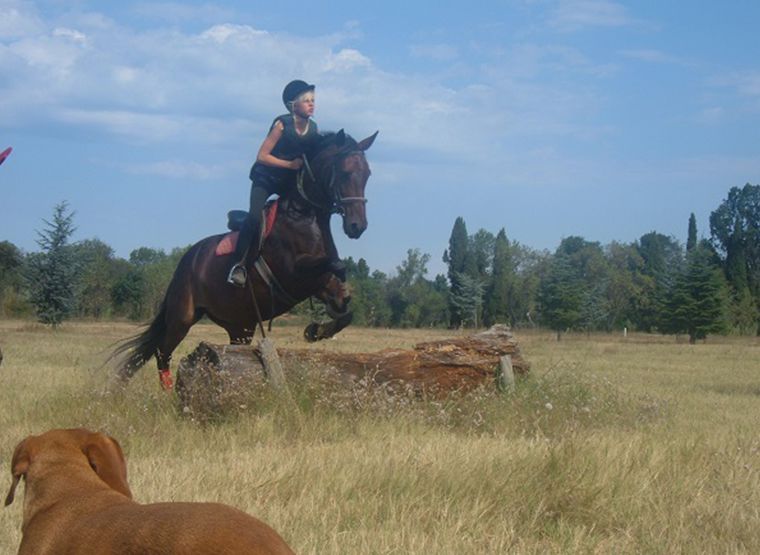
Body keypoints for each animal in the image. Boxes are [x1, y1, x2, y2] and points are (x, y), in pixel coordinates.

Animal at [113, 130, 378, 390]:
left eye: (367, 174)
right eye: (344, 172)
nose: (357, 226)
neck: (305, 214)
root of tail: (187, 258)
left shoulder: (317, 281)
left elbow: (341, 290)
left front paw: (320, 326)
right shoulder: (293, 273)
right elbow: (336, 265)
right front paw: (318, 326)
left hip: (240, 324)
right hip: (183, 315)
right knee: (162, 351)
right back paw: (169, 390)